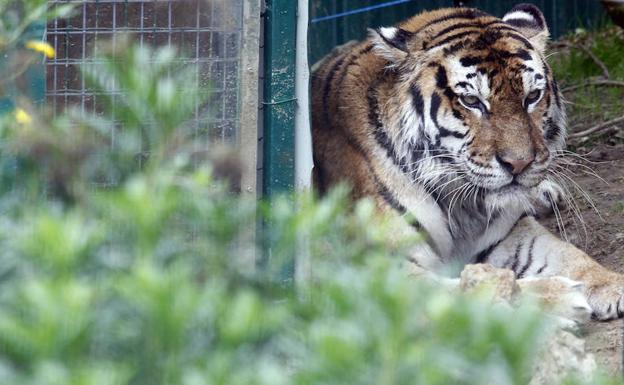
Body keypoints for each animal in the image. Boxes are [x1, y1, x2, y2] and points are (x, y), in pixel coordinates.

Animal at [312, 3, 624, 320]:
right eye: (472, 101)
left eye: (532, 96)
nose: (519, 164)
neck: (463, 204)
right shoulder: (376, 264)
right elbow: (474, 288)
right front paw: (561, 295)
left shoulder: (507, 234)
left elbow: (570, 255)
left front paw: (612, 284)